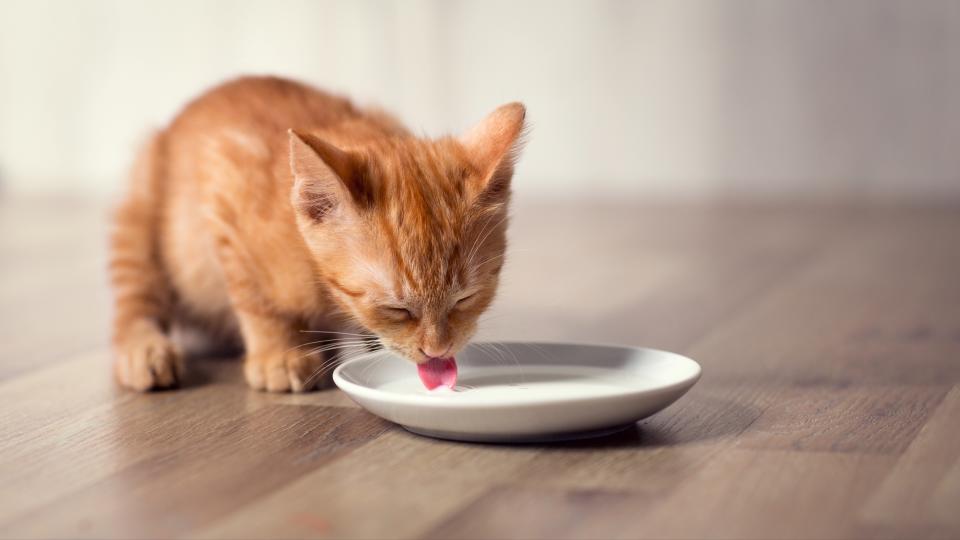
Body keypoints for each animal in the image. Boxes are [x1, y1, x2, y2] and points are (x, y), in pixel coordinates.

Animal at [110, 76, 524, 392]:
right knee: (135, 300)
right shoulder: (224, 184)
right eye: (396, 308)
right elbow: (255, 298)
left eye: (466, 298)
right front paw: (277, 353)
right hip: (140, 212)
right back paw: (144, 351)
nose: (437, 351)